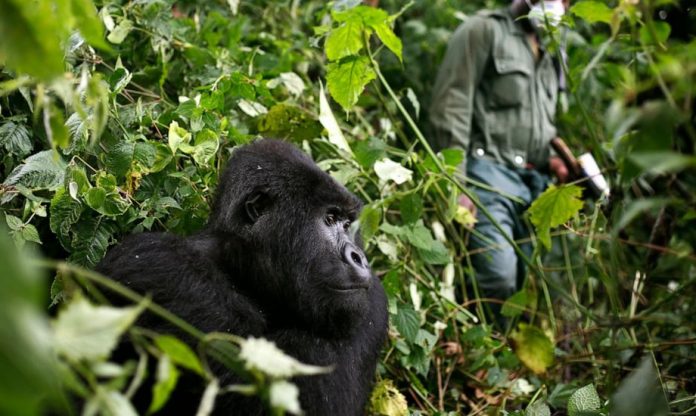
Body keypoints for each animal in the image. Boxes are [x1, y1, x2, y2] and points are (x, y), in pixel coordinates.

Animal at [97, 139, 388, 412]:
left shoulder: (372, 302)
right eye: (329, 218)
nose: (358, 257)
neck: (244, 272)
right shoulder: (157, 264)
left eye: (347, 224)